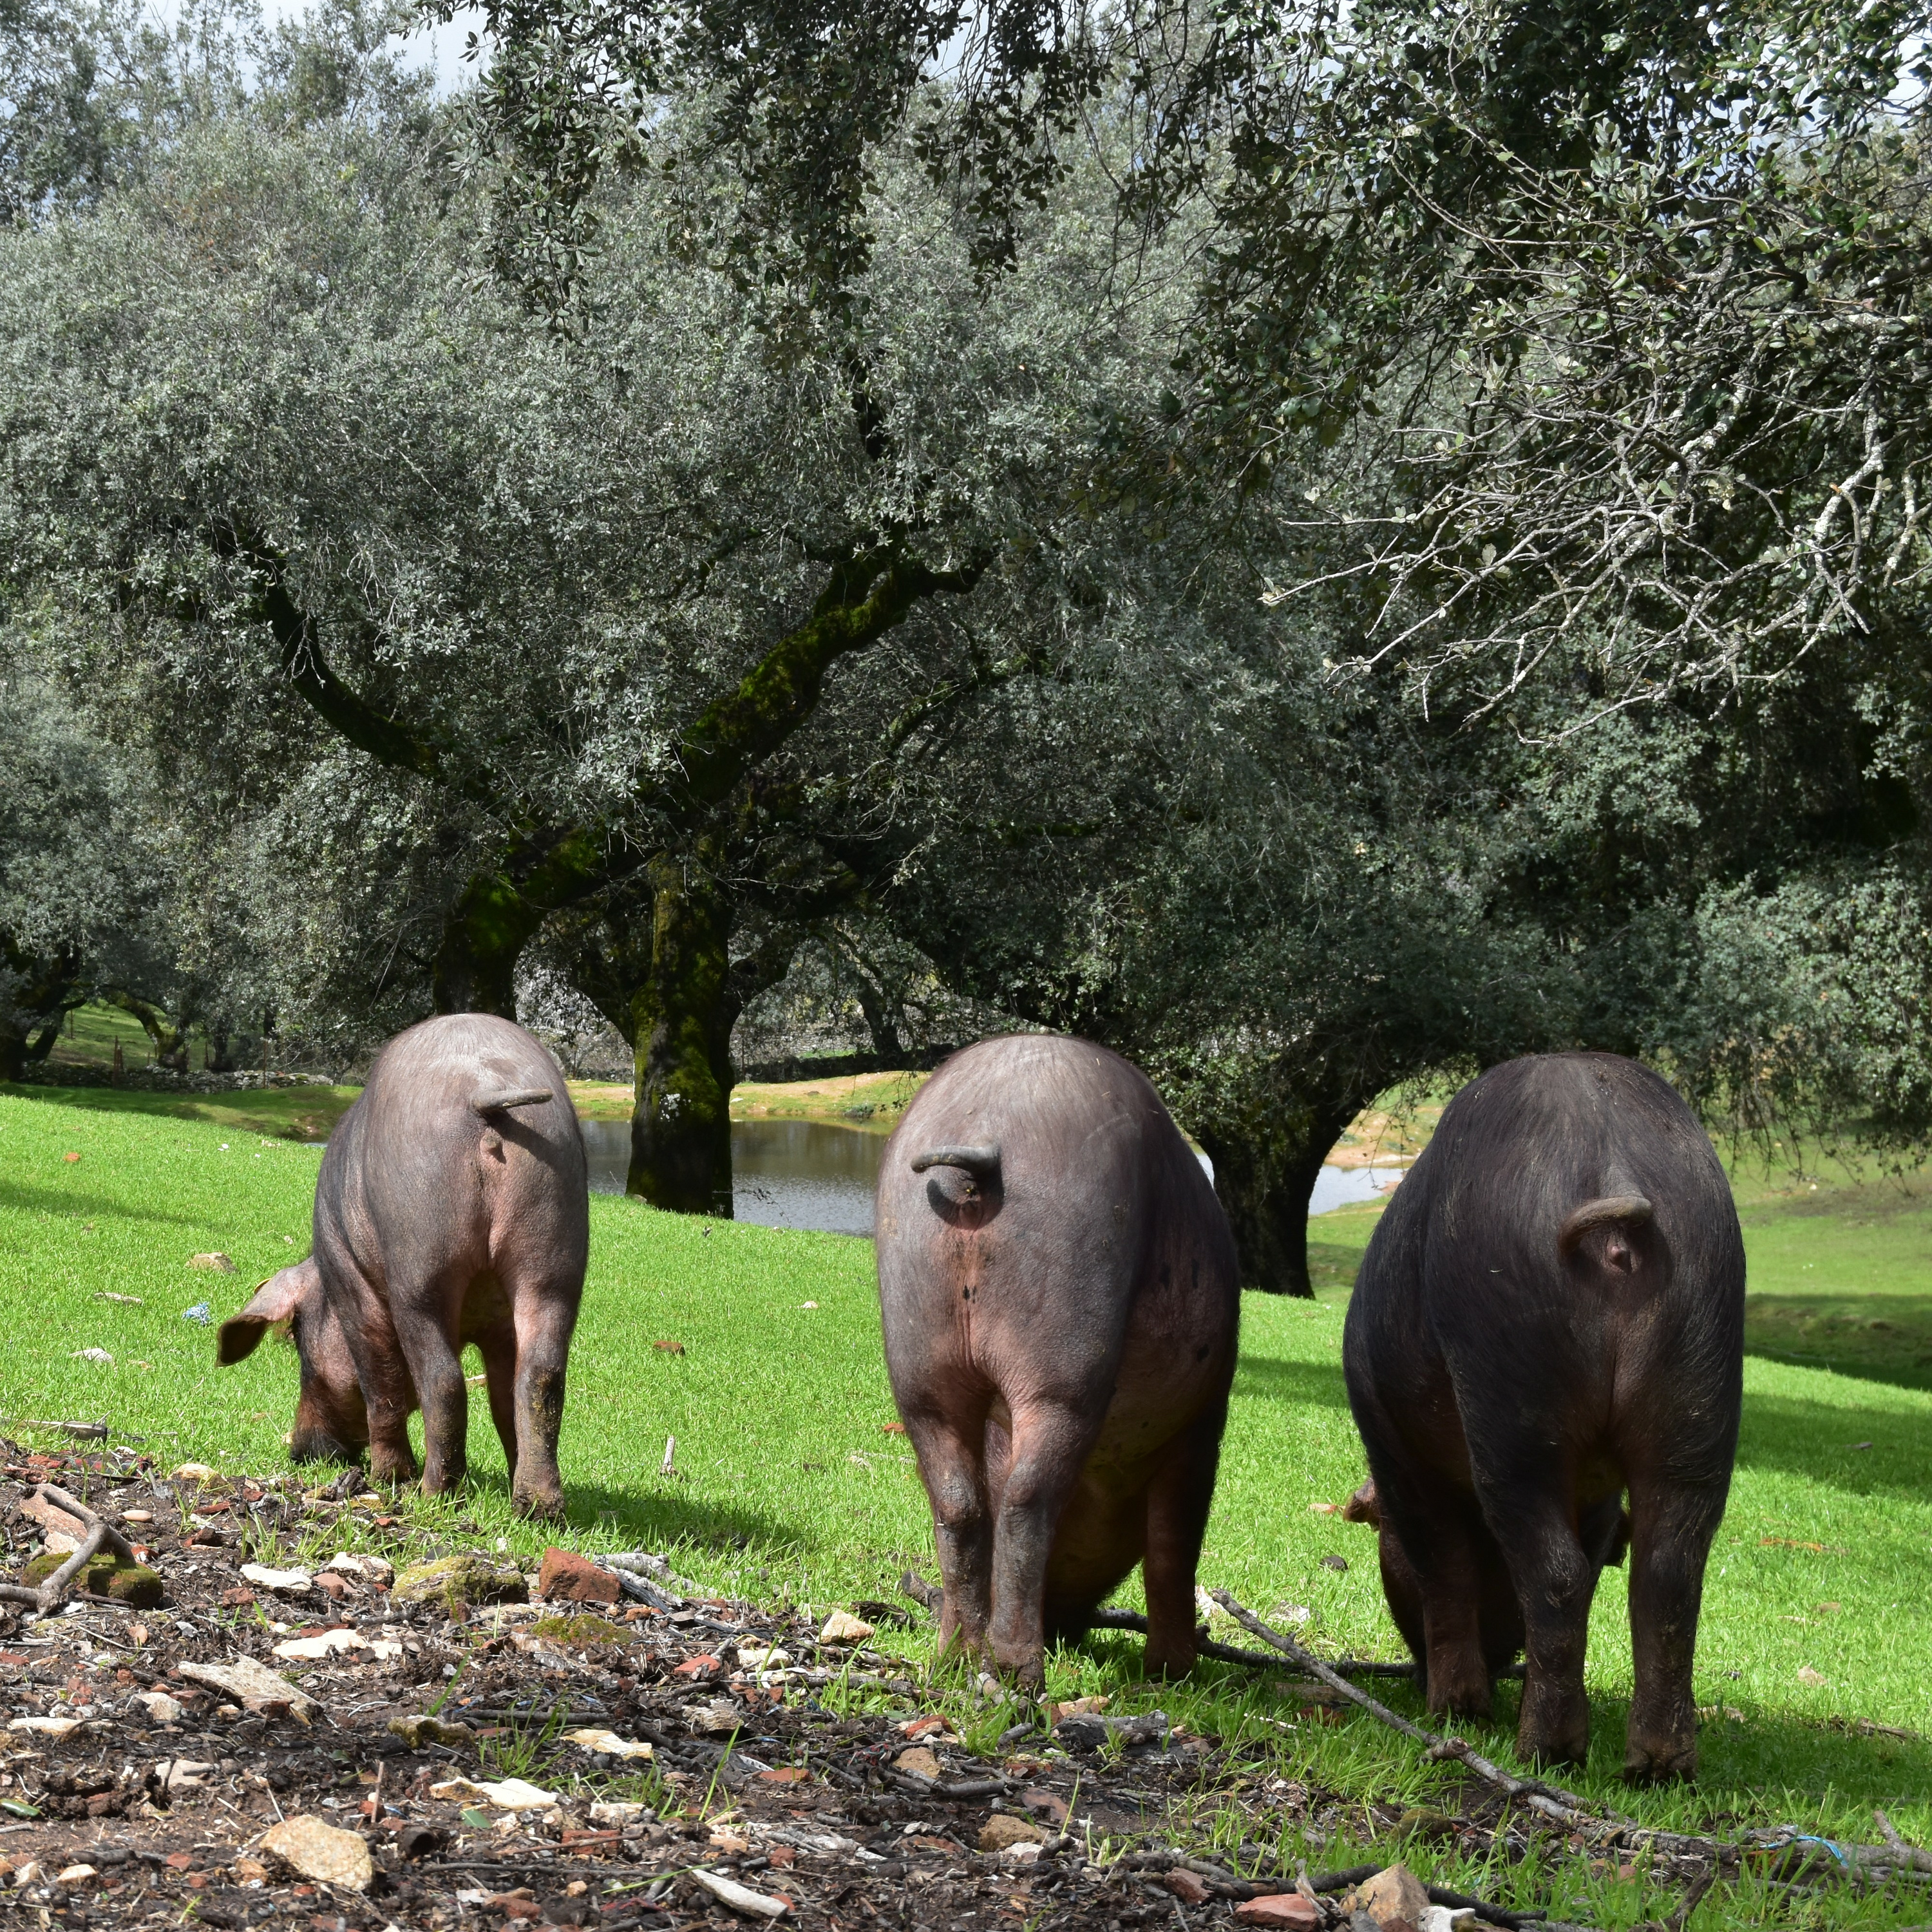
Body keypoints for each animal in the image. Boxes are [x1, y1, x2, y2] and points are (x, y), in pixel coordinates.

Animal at [216, 1013, 589, 1520]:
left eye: (297, 1337)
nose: (298, 1450)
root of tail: (484, 1090)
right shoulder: (501, 1323)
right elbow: (503, 1397)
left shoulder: (352, 1282)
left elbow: (382, 1381)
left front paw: (387, 1477)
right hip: (553, 1250)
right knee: (542, 1378)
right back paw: (538, 1508)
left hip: (418, 1254)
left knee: (442, 1381)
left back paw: (430, 1493)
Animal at [875, 1034, 1240, 1686]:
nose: (1070, 1627)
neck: (1110, 1474)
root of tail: (987, 1139)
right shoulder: (1202, 1425)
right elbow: (1173, 1551)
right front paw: (1173, 1676)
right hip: (1066, 1359)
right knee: (1026, 1502)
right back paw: (1021, 1674)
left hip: (916, 1358)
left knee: (959, 1503)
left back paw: (954, 1664)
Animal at [1343, 1051, 1744, 1780]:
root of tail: (1608, 1175)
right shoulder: (1601, 1495)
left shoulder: (1394, 1449)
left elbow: (1440, 1564)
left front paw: (1456, 1712)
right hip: (1702, 1381)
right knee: (1667, 1576)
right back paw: (1657, 1769)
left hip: (1512, 1399)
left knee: (1554, 1573)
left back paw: (1541, 1752)